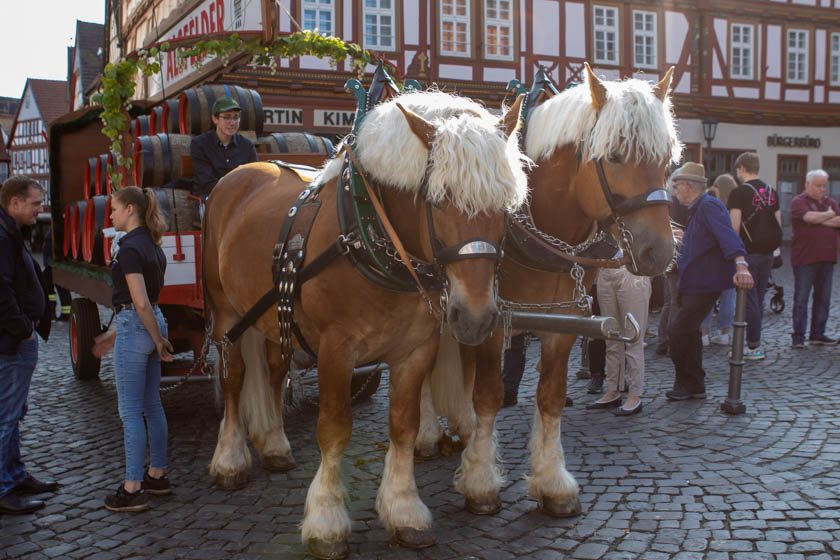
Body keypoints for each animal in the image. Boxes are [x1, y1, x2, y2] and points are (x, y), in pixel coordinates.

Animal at [203, 89, 528, 556]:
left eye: (506, 205)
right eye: (438, 200)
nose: (476, 316)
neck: (370, 238)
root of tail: (239, 174)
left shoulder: (416, 350)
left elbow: (404, 425)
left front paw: (404, 509)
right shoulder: (336, 351)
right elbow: (334, 429)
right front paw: (326, 521)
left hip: (273, 316)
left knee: (275, 369)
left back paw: (274, 443)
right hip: (226, 313)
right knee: (234, 378)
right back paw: (229, 459)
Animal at [420, 64, 684, 516]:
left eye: (667, 160)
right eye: (615, 155)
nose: (659, 253)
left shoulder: (565, 320)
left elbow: (551, 396)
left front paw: (552, 484)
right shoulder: (491, 319)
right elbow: (488, 395)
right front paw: (480, 483)